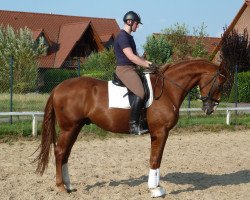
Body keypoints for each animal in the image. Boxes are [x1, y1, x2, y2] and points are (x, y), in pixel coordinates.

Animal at [34, 58, 227, 196]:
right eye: (219, 84)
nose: (210, 108)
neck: (168, 89)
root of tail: (58, 87)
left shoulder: (160, 133)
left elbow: (157, 158)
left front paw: (157, 186)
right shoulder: (160, 132)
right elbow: (155, 159)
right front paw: (155, 189)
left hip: (76, 127)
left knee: (66, 154)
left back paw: (69, 185)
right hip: (69, 128)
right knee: (60, 152)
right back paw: (61, 187)